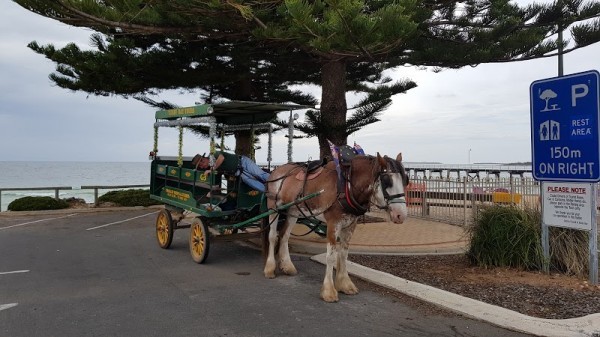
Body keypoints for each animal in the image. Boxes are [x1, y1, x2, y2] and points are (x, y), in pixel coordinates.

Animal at [262, 152, 408, 302]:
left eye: (405, 180)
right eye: (387, 181)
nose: (401, 215)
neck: (346, 187)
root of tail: (275, 171)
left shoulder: (350, 225)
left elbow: (343, 254)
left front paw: (345, 284)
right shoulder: (333, 224)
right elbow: (331, 257)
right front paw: (329, 291)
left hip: (293, 210)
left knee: (284, 235)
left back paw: (287, 266)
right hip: (273, 207)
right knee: (272, 236)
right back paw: (269, 268)